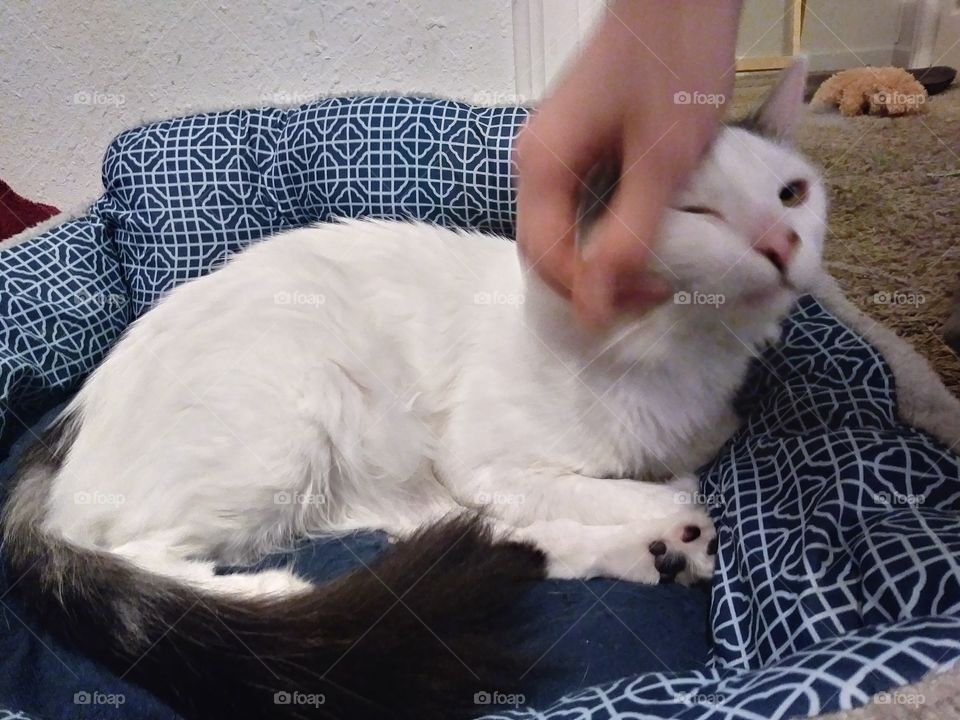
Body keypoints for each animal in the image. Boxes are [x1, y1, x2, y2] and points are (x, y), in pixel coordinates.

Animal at [1, 62, 824, 720]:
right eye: (697, 213)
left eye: (792, 194)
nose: (781, 242)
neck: (677, 357)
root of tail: (68, 425)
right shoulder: (487, 462)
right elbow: (624, 486)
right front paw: (665, 504)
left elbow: (665, 473)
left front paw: (668, 512)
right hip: (284, 427)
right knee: (141, 558)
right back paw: (271, 597)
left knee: (488, 541)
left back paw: (656, 554)